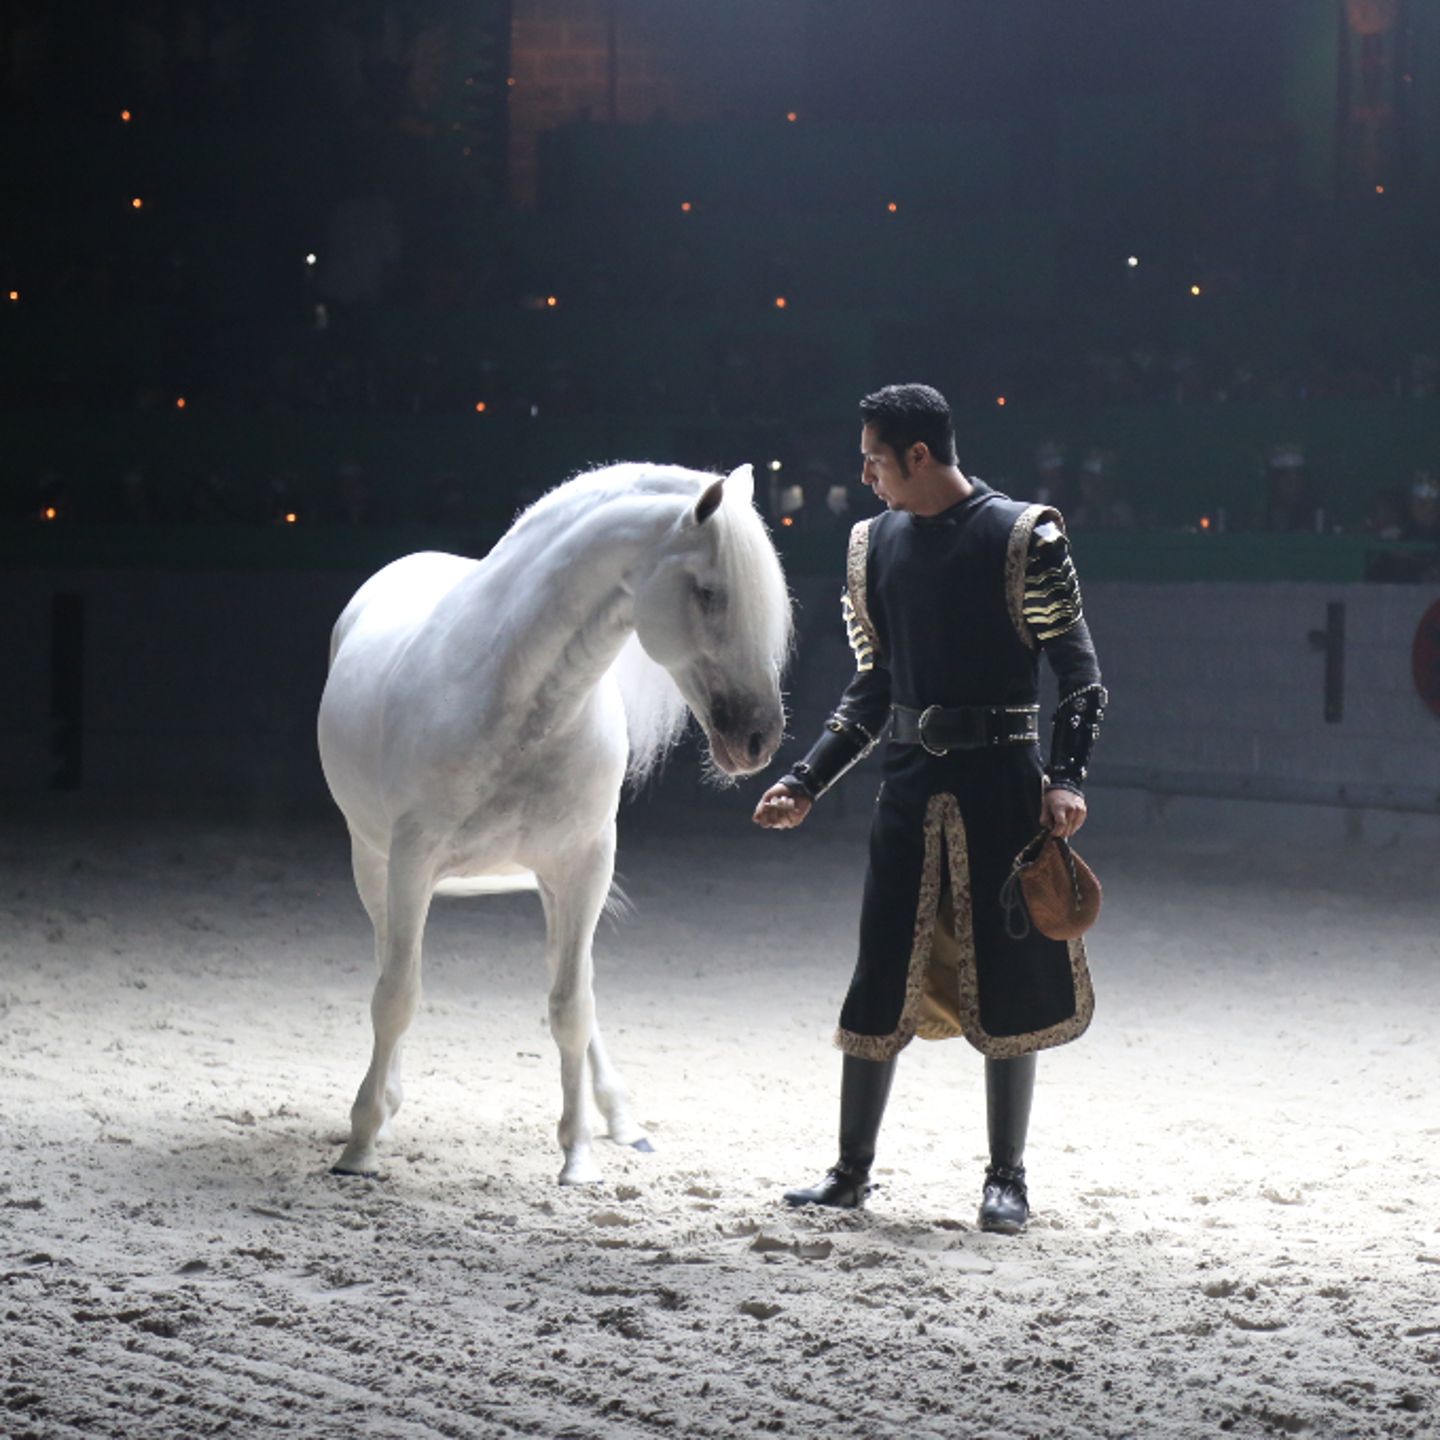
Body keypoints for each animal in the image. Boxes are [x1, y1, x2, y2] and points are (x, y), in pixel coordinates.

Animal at [317, 462, 791, 1184]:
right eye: (710, 593)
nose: (759, 739)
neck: (521, 706)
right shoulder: (411, 862)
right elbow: (396, 994)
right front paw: (362, 1143)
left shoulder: (583, 864)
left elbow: (572, 1005)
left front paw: (578, 1156)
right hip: (372, 863)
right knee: (388, 964)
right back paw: (384, 1106)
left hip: (549, 883)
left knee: (571, 979)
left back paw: (622, 1120)